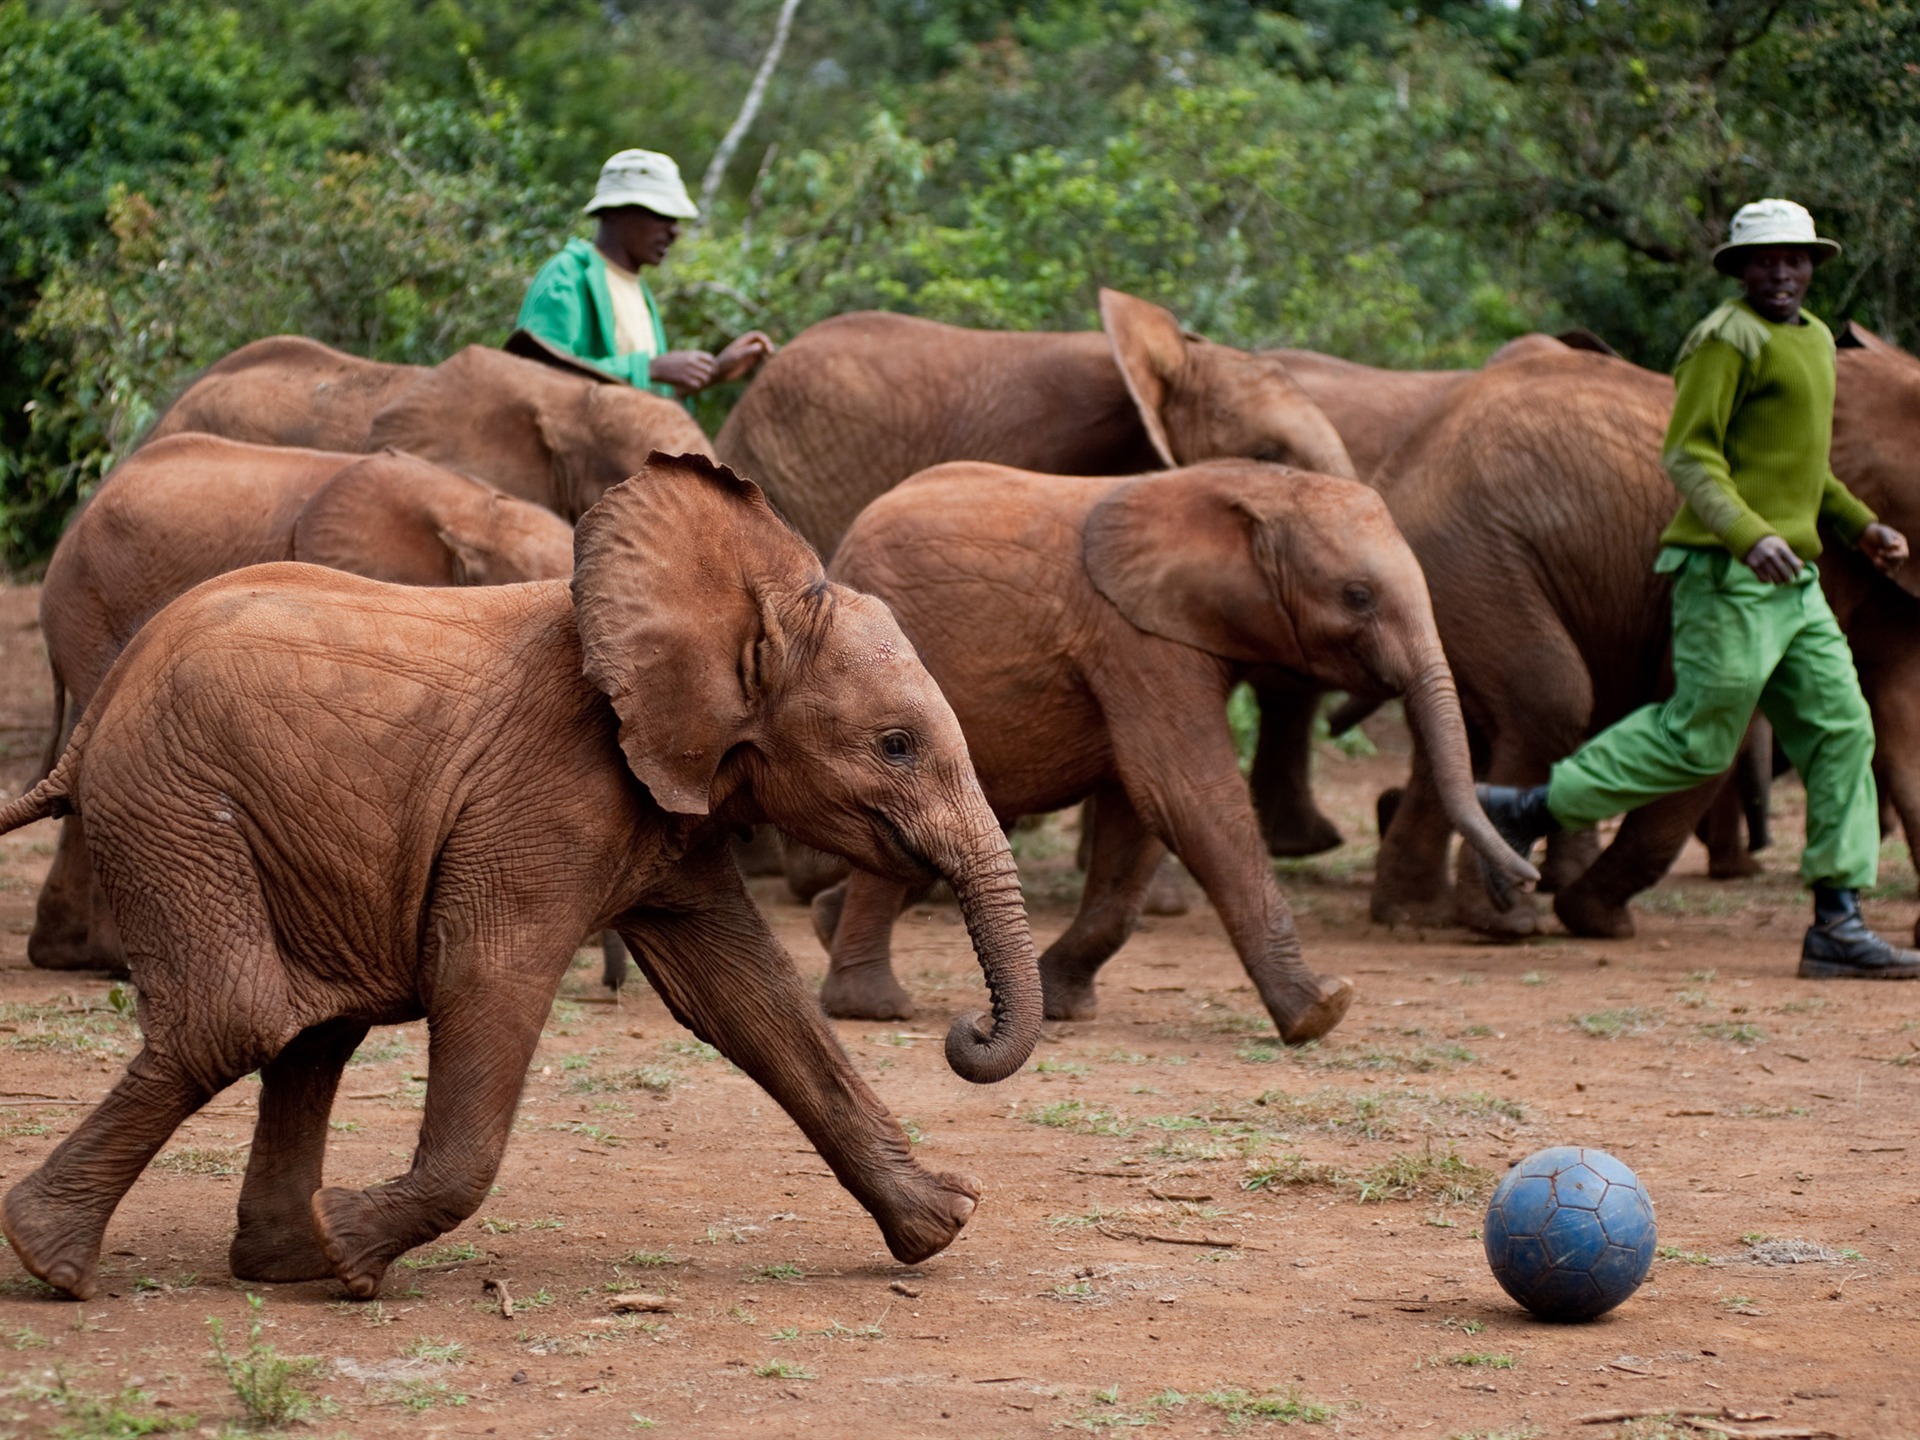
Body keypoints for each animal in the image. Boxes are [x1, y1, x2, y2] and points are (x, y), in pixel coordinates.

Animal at [817, 462, 1536, 1036]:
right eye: (1356, 597)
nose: (1522, 882)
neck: (1250, 486)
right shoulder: (1139, 639)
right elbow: (1185, 794)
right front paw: (1321, 1011)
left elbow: (1138, 818)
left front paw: (1063, 1006)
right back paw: (872, 1007)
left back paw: (828, 927)